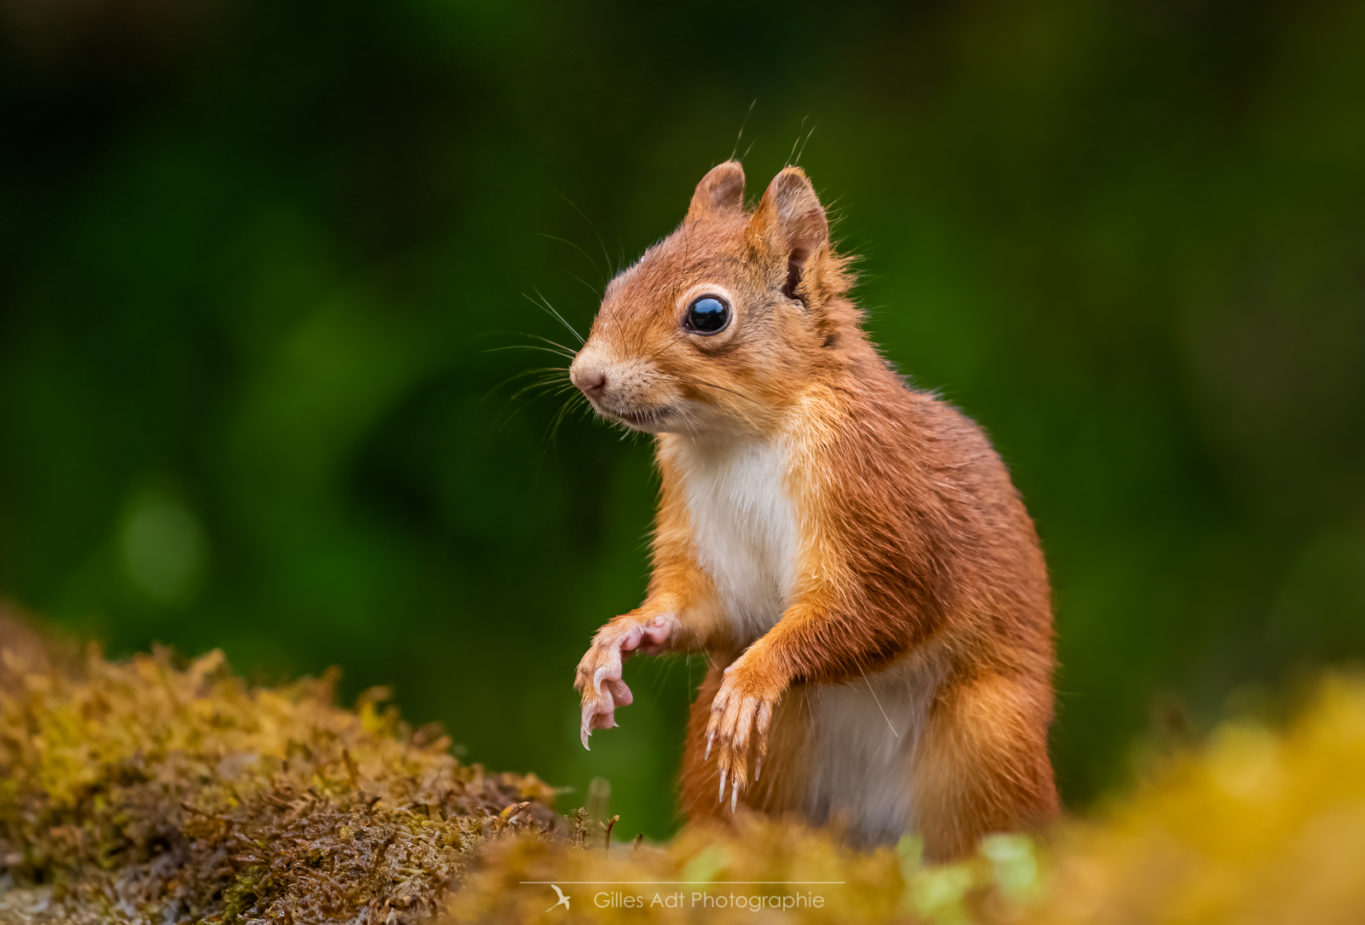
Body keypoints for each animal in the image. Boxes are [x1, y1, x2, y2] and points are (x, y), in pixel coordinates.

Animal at [565, 160, 1053, 862]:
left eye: (708, 314)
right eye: (619, 282)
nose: (586, 377)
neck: (740, 439)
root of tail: (869, 833)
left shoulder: (877, 503)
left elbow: (878, 607)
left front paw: (757, 676)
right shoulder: (701, 537)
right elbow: (698, 608)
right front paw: (619, 639)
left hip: (989, 740)